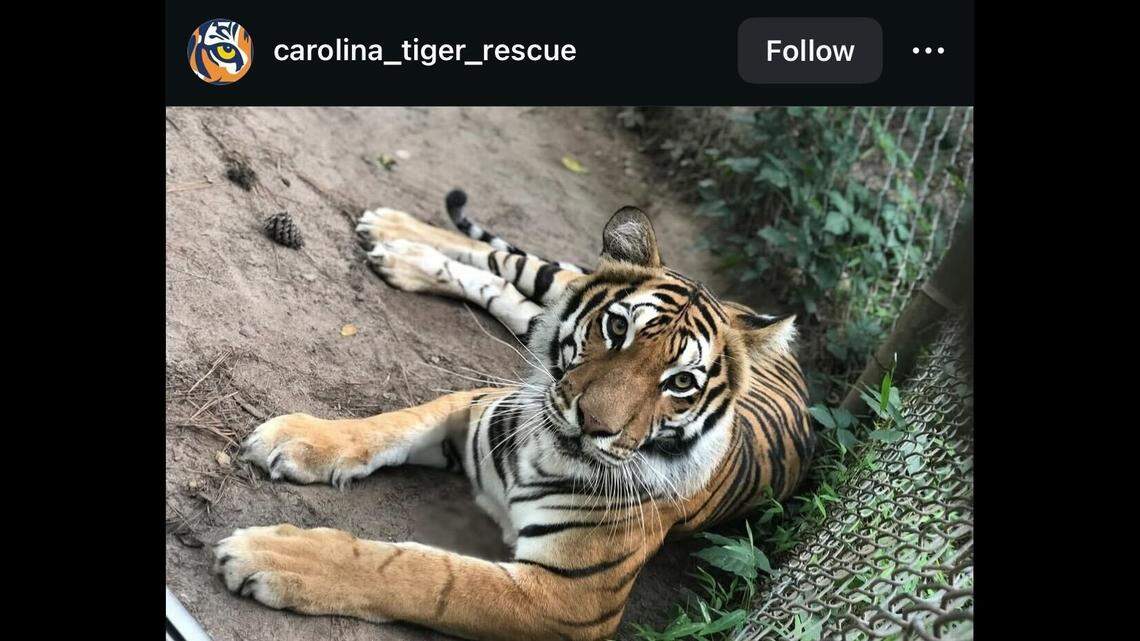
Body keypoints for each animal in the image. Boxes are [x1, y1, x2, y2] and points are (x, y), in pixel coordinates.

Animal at [212, 189, 815, 641]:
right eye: (617, 327)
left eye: (681, 383)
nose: (592, 423)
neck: (544, 453)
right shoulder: (475, 404)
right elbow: (390, 424)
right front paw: (296, 437)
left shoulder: (566, 599)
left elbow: (423, 575)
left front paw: (273, 554)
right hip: (560, 278)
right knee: (510, 266)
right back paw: (395, 235)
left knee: (507, 287)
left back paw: (397, 251)